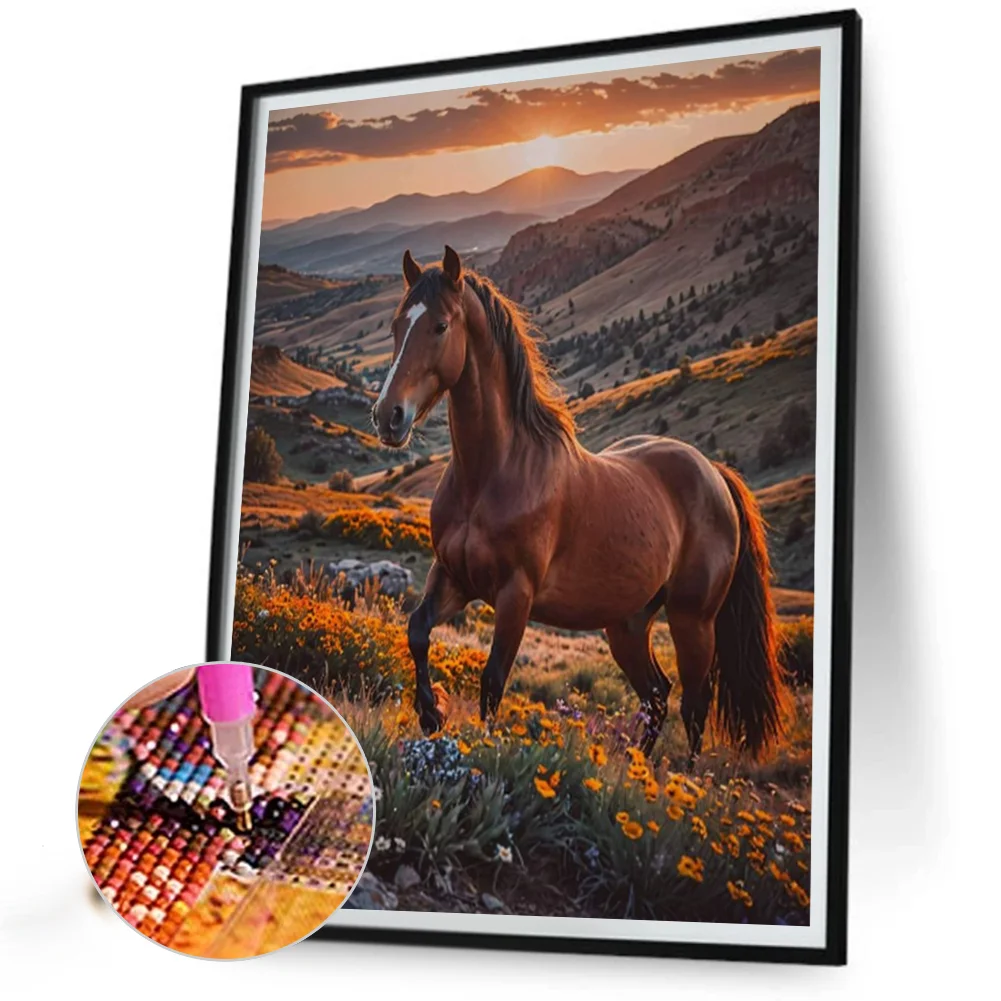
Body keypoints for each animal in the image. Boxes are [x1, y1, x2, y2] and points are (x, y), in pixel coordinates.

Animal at [372, 245, 787, 764]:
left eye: (441, 326)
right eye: (395, 326)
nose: (388, 417)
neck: (494, 472)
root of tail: (713, 473)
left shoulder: (515, 595)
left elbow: (493, 680)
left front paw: (479, 747)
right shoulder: (453, 578)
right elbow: (417, 631)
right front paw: (431, 714)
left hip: (693, 620)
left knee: (695, 705)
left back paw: (680, 781)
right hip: (626, 624)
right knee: (657, 695)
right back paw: (636, 770)